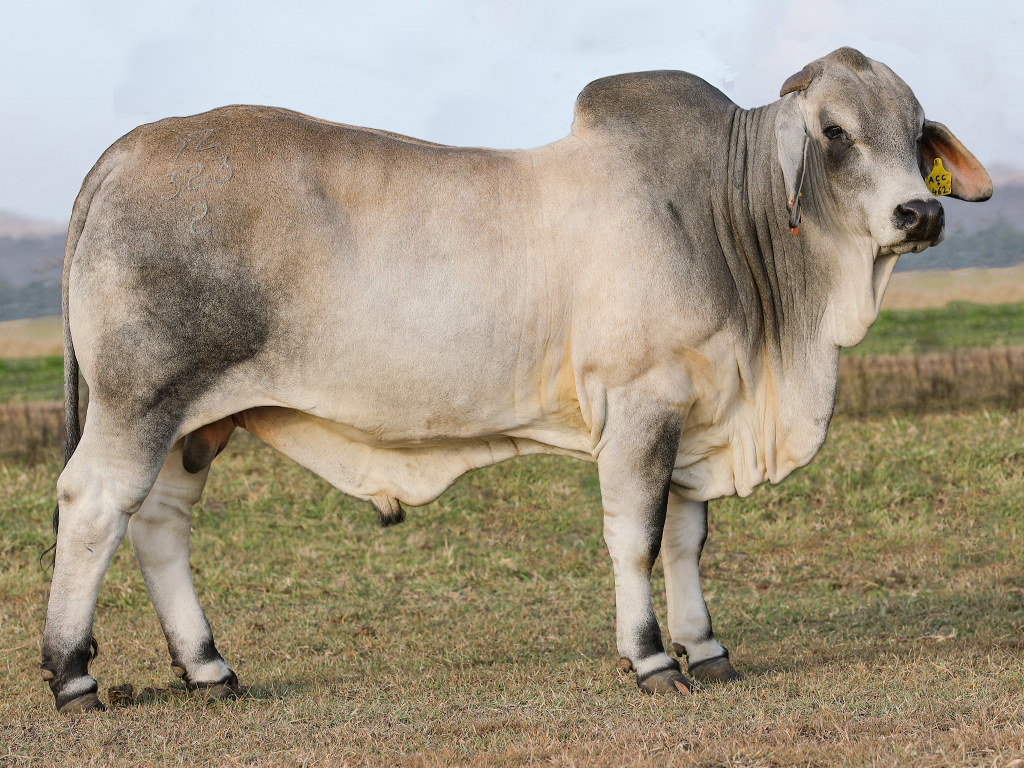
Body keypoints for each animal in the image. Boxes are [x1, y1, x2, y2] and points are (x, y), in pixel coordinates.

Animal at [41, 47, 991, 712]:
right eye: (835, 133)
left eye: (915, 134)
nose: (920, 211)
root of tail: (126, 149)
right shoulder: (640, 407)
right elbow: (635, 538)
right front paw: (652, 659)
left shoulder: (696, 410)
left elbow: (685, 542)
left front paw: (709, 650)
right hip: (137, 402)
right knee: (94, 507)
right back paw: (71, 675)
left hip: (194, 421)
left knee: (158, 525)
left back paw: (208, 667)